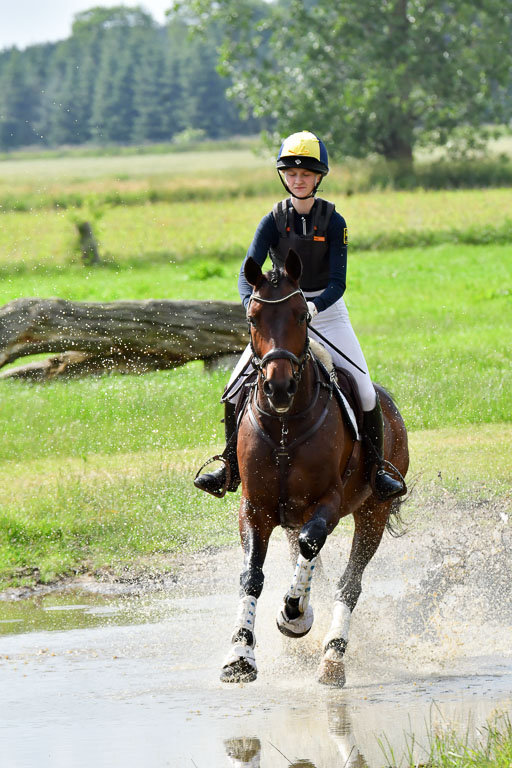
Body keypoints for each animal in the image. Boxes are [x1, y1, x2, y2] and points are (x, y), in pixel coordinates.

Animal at [220, 250, 409, 686]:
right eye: (253, 317)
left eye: (302, 316)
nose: (279, 388)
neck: (285, 425)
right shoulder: (255, 508)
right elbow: (252, 574)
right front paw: (240, 655)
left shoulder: (328, 503)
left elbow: (311, 544)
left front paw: (292, 614)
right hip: (291, 515)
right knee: (314, 569)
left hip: (373, 512)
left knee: (348, 583)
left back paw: (332, 656)